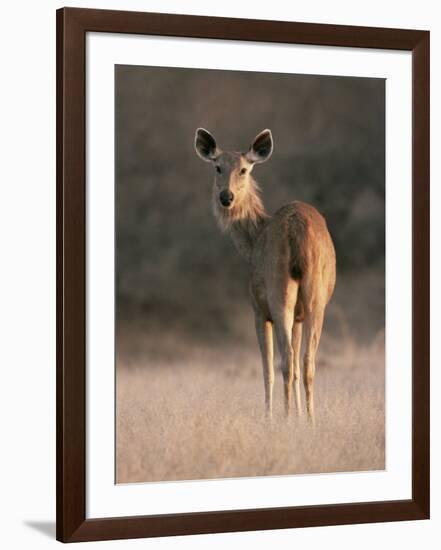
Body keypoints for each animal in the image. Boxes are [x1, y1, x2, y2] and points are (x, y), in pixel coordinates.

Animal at [194, 128, 336, 422]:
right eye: (217, 167)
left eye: (244, 169)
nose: (226, 197)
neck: (253, 239)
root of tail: (298, 229)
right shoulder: (299, 317)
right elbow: (297, 364)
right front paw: (300, 416)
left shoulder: (258, 309)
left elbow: (267, 369)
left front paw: (270, 417)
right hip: (315, 295)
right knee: (306, 362)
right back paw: (310, 420)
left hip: (277, 290)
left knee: (286, 361)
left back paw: (285, 418)